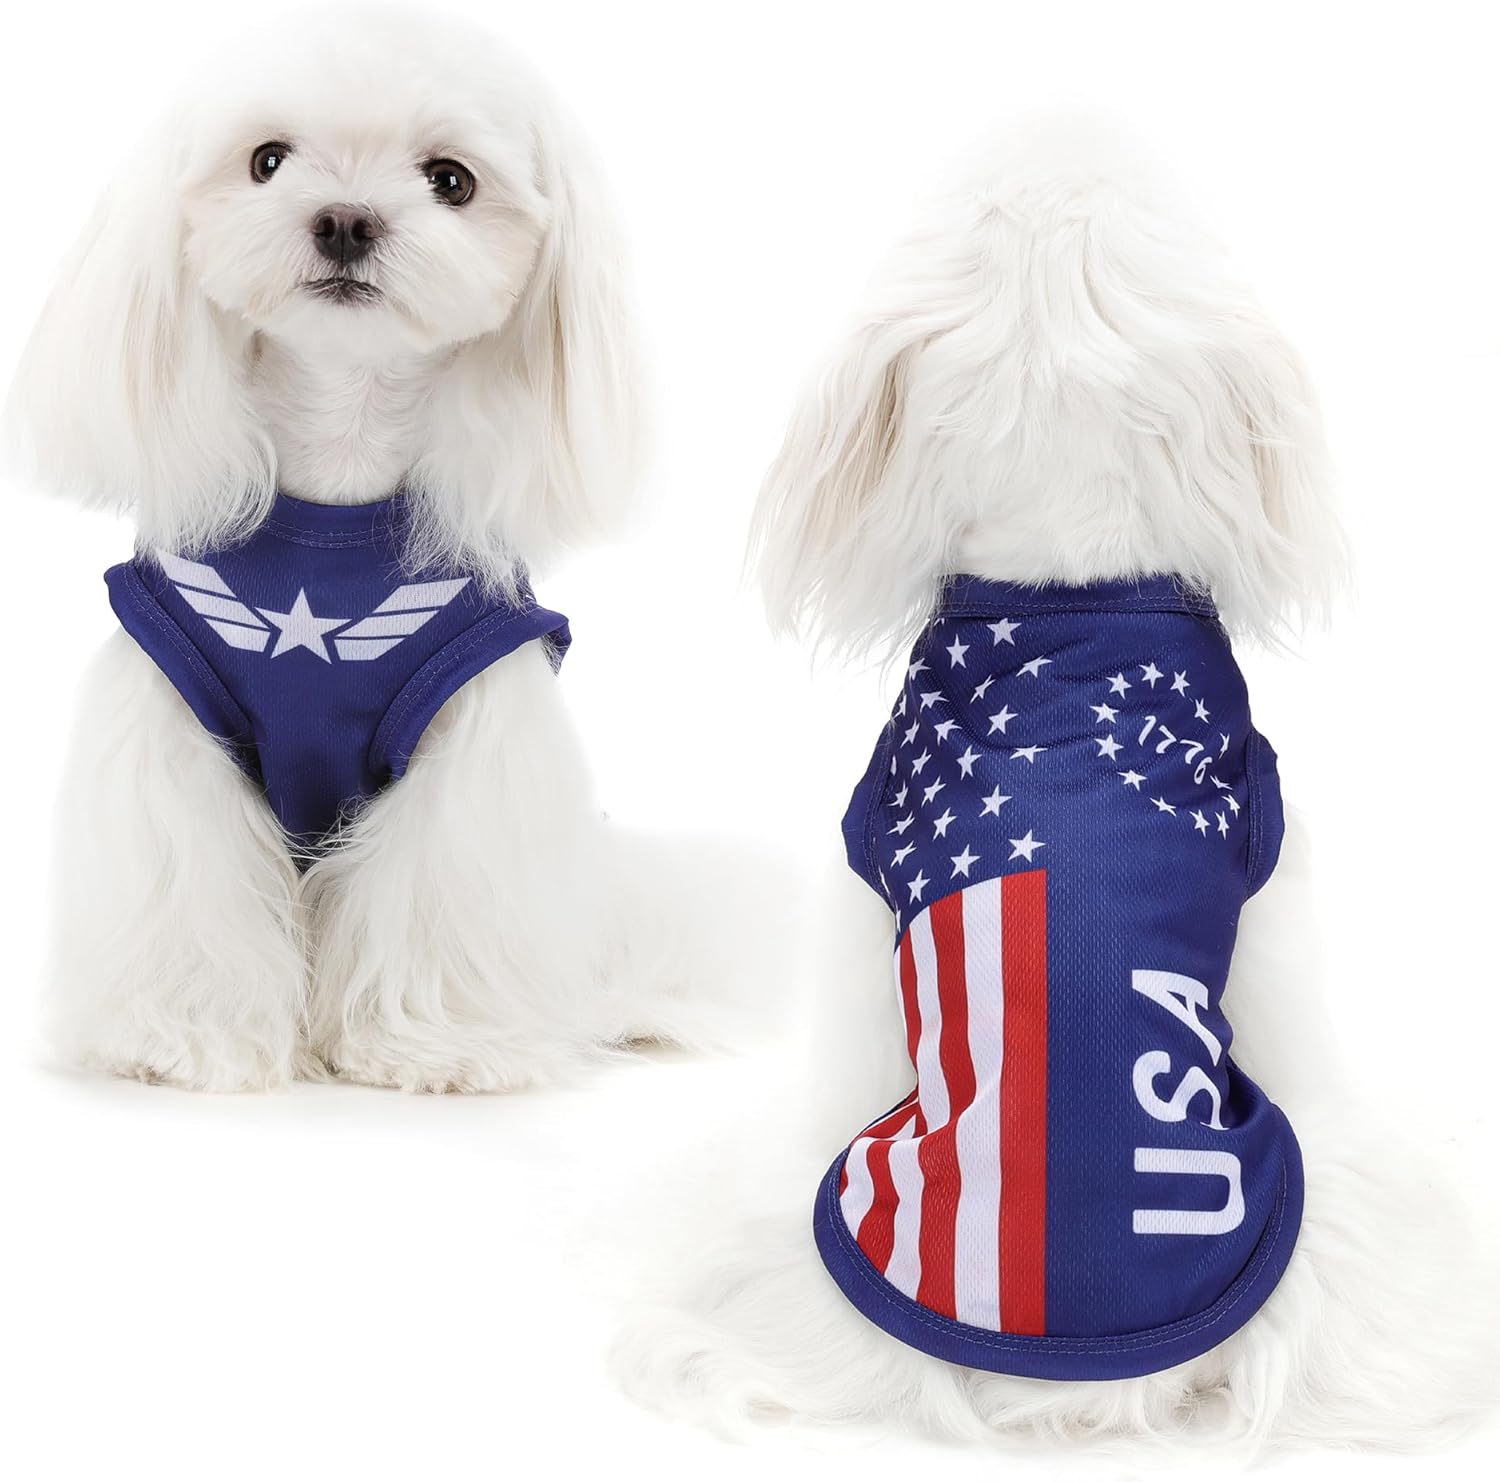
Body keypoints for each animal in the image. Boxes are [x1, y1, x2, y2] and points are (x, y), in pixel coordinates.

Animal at [3, 6, 740, 1093]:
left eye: (452, 180)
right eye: (267, 160)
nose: (346, 219)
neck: (336, 484)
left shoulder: (473, 720)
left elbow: (441, 877)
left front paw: (434, 1045)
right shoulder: (170, 715)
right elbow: (186, 872)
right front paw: (181, 1037)